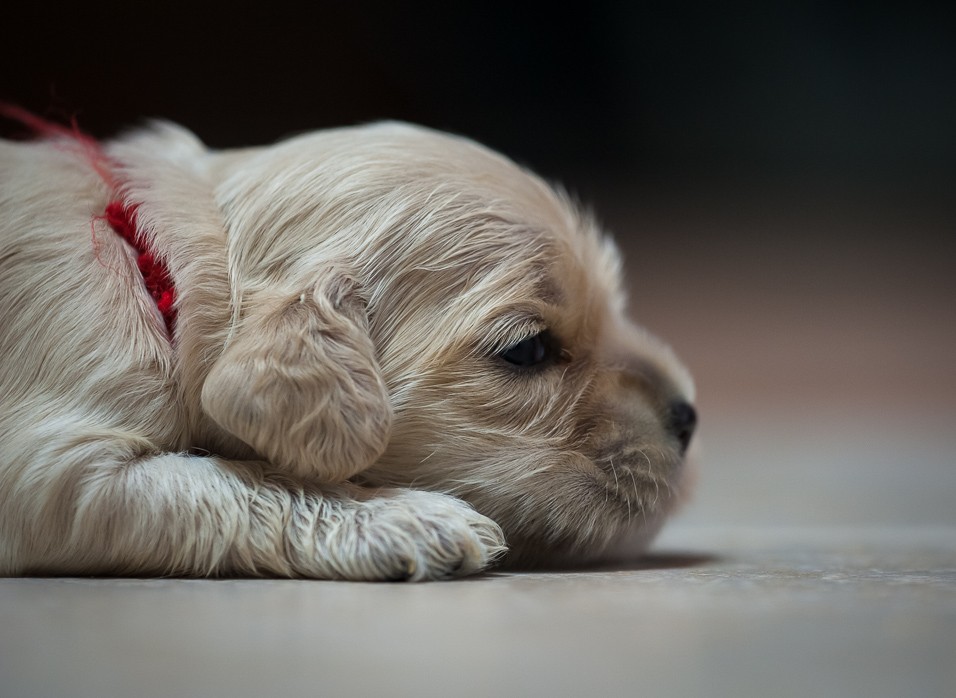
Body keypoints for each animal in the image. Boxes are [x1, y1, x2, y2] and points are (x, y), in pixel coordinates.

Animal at [0, 117, 696, 580]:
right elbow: (236, 485)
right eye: (526, 351)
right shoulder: (57, 473)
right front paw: (408, 520)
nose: (690, 416)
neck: (159, 270)